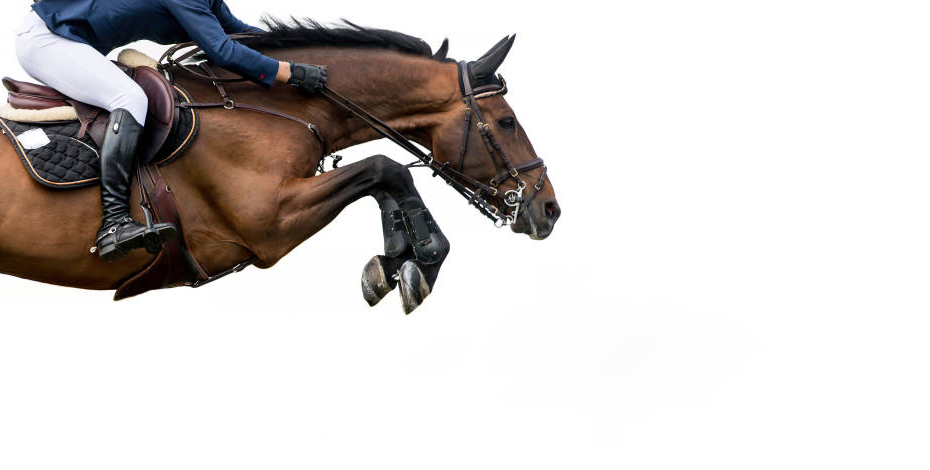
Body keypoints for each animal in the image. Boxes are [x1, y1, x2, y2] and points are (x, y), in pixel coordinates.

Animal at [0, 20, 561, 313]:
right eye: (507, 122)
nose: (549, 209)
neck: (268, 106)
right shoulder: (267, 222)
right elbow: (386, 167)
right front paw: (421, 261)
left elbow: (382, 178)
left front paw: (396, 263)